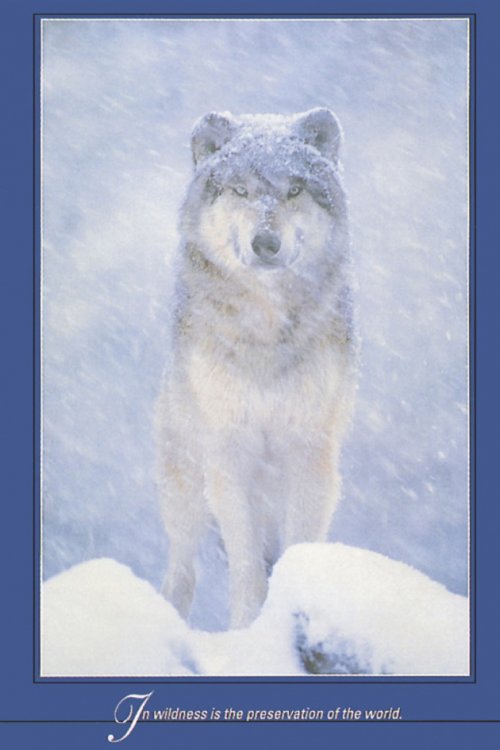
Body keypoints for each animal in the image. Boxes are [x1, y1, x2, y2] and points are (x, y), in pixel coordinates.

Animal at [156, 108, 357, 629]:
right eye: (240, 190)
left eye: (294, 190)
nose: (265, 242)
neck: (265, 330)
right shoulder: (229, 454)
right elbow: (246, 566)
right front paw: (246, 630)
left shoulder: (310, 452)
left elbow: (298, 547)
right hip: (185, 486)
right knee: (182, 570)